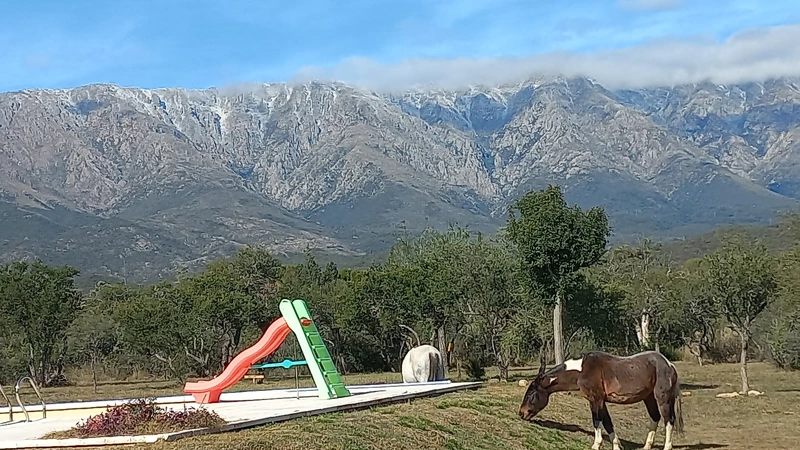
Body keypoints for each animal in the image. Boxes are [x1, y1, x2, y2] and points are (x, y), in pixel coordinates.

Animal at [519, 350, 684, 450]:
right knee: (655, 417)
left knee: (669, 420)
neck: (583, 370)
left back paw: (667, 446)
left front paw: (596, 444)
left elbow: (597, 420)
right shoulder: (601, 401)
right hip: (648, 398)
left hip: (662, 398)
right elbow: (608, 423)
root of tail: (669, 364)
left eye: (531, 393)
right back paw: (646, 446)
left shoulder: (595, 400)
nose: (521, 413)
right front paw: (616, 446)